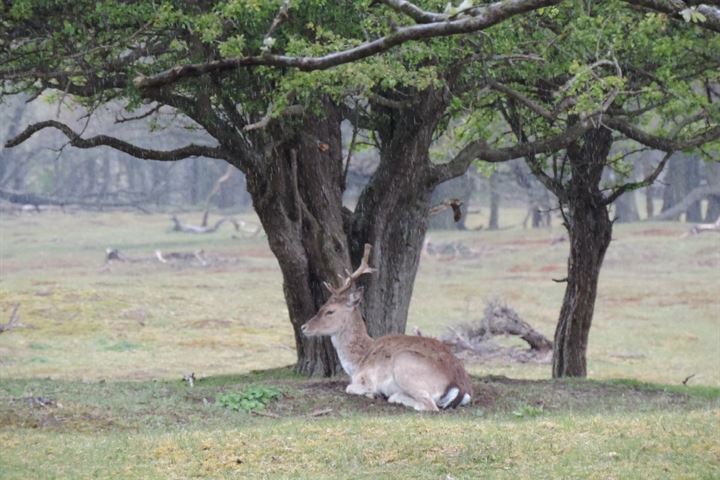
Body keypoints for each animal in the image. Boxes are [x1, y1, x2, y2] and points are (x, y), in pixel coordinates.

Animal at [300, 246, 472, 410]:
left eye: (330, 311)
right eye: (322, 305)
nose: (304, 327)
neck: (357, 363)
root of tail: (460, 386)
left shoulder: (366, 378)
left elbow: (350, 387)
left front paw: (372, 393)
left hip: (404, 362)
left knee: (429, 405)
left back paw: (391, 396)